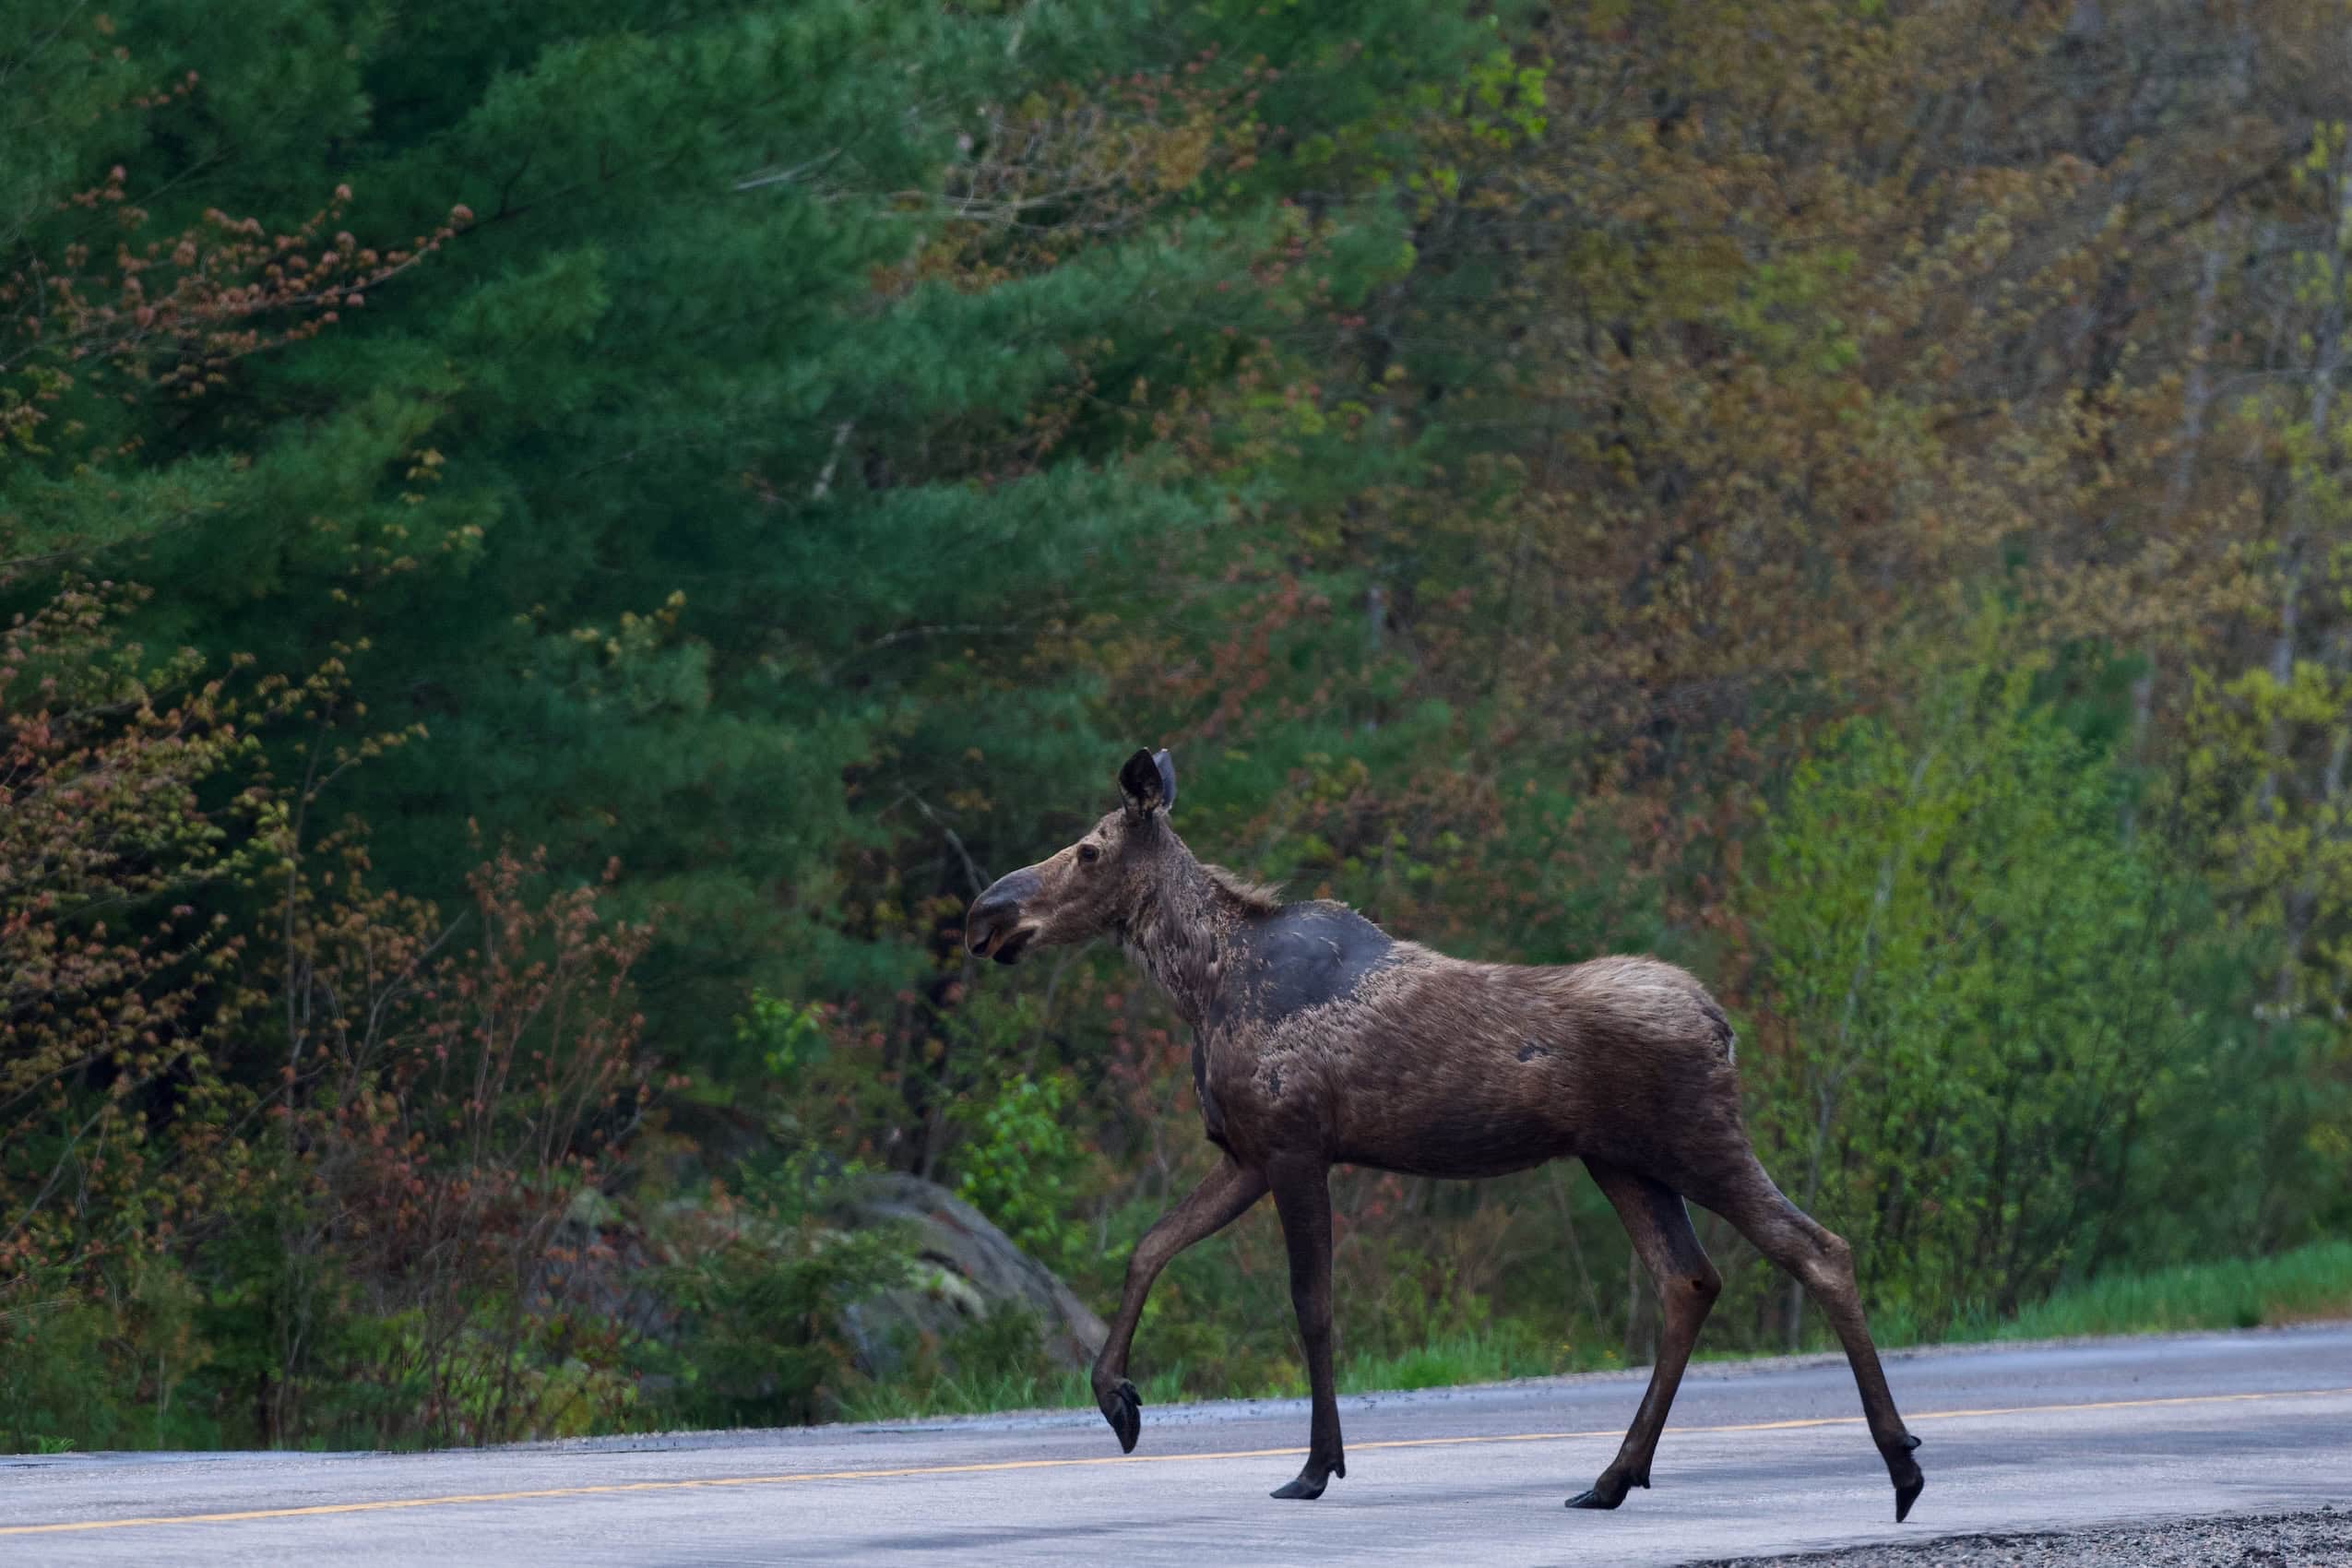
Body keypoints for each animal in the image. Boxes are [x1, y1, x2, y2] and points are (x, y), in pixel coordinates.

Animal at [961, 749, 1924, 1521]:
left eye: (1089, 849)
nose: (985, 914)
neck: (1201, 986)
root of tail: (1724, 1026)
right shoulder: (1245, 1154)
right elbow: (1149, 1248)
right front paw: (1118, 1399)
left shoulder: (1296, 1146)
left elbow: (1311, 1305)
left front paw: (1315, 1467)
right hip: (1621, 1161)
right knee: (1688, 1282)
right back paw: (1612, 1477)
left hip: (1697, 1142)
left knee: (1820, 1250)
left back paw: (1902, 1465)